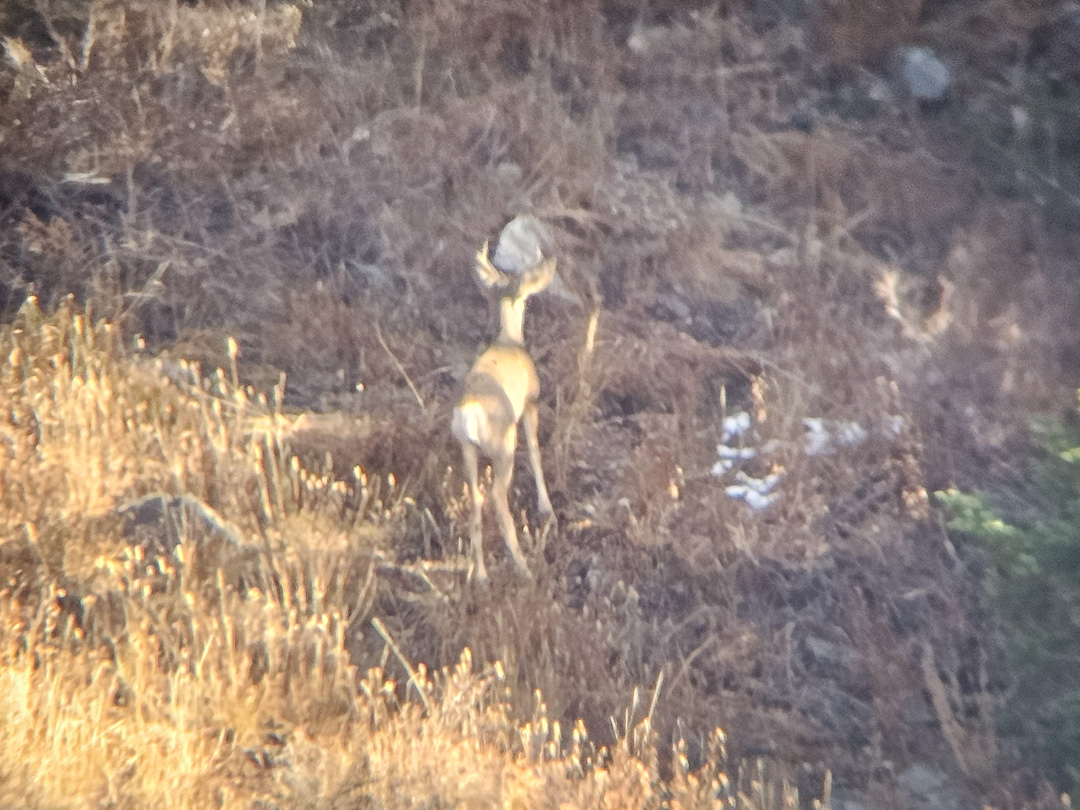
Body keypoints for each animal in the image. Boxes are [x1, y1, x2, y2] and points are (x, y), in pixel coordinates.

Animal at [451, 242, 557, 584]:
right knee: (497, 498)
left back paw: (482, 576)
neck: (509, 341)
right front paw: (546, 507)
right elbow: (535, 451)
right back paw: (524, 568)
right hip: (502, 447)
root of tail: (469, 412)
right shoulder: (531, 403)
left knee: (475, 500)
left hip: (467, 448)